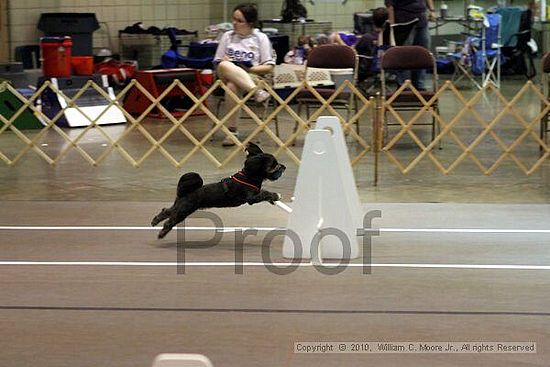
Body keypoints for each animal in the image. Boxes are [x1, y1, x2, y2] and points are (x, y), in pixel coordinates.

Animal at [152, 142, 286, 240]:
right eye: (273, 165)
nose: (284, 166)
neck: (249, 175)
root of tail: (185, 192)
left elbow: (264, 193)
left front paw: (273, 199)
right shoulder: (251, 198)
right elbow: (265, 193)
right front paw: (276, 195)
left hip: (180, 206)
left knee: (166, 211)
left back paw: (155, 220)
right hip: (185, 209)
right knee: (171, 221)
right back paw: (162, 233)